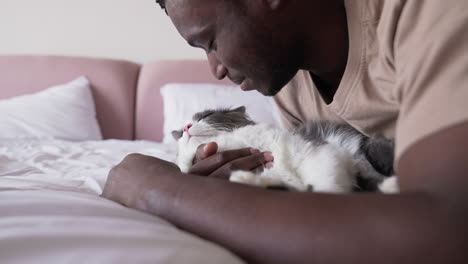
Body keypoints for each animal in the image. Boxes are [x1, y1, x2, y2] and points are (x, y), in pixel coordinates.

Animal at [173, 105, 398, 194]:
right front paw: (244, 179)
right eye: (180, 135)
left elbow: (325, 183)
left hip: (371, 150)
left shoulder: (313, 151)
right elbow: (292, 186)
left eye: (205, 116)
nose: (185, 128)